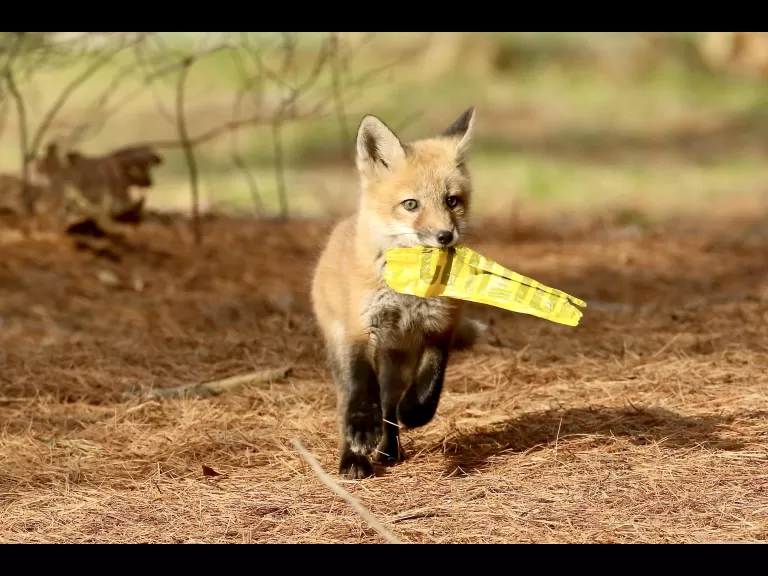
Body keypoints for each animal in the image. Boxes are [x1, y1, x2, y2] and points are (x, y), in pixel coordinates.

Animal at [311, 106, 486, 480]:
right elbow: (362, 390)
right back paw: (354, 457)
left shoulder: (441, 324)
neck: (409, 293)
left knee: (390, 403)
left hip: (400, 358)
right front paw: (362, 433)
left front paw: (415, 412)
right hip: (343, 345)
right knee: (349, 401)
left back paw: (389, 448)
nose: (445, 236)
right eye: (411, 204)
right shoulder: (360, 329)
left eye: (452, 201)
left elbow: (431, 382)